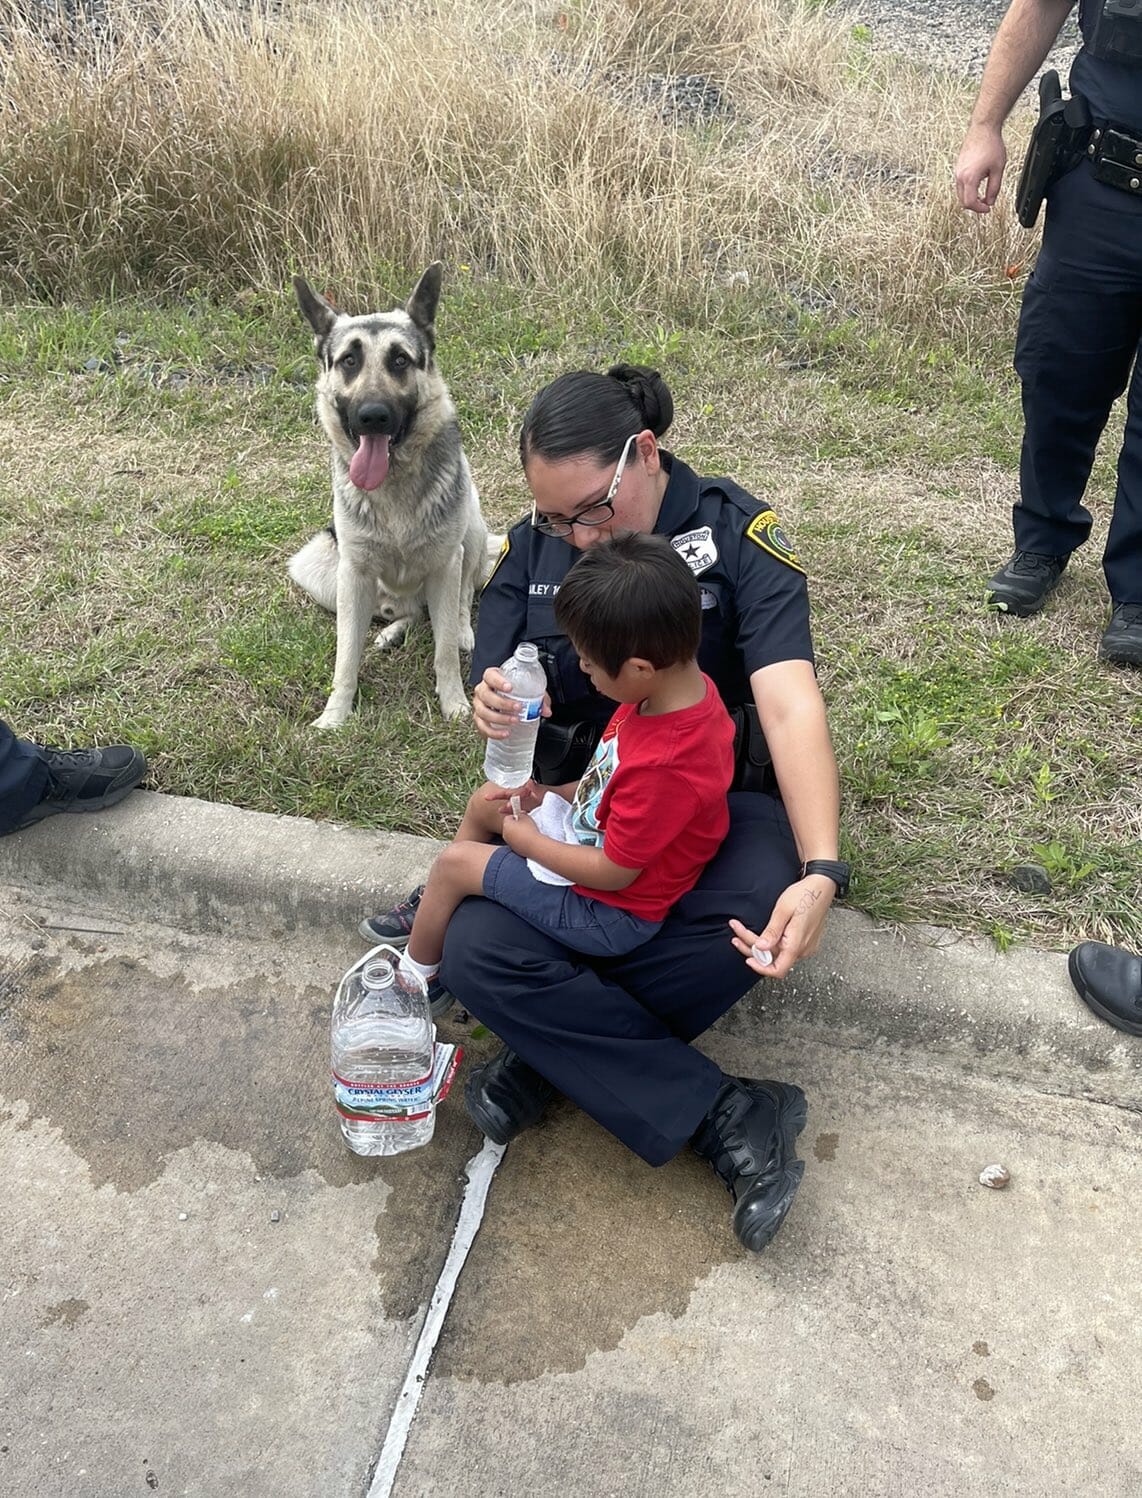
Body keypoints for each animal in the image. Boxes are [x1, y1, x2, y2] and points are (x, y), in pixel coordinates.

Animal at [289, 268, 485, 725]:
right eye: (349, 360)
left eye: (400, 360)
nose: (373, 416)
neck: (393, 483)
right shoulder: (354, 573)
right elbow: (345, 656)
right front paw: (336, 715)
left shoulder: (446, 566)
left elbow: (445, 650)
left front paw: (454, 704)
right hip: (316, 569)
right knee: (411, 614)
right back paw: (393, 630)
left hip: (473, 529)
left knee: (460, 599)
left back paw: (461, 629)